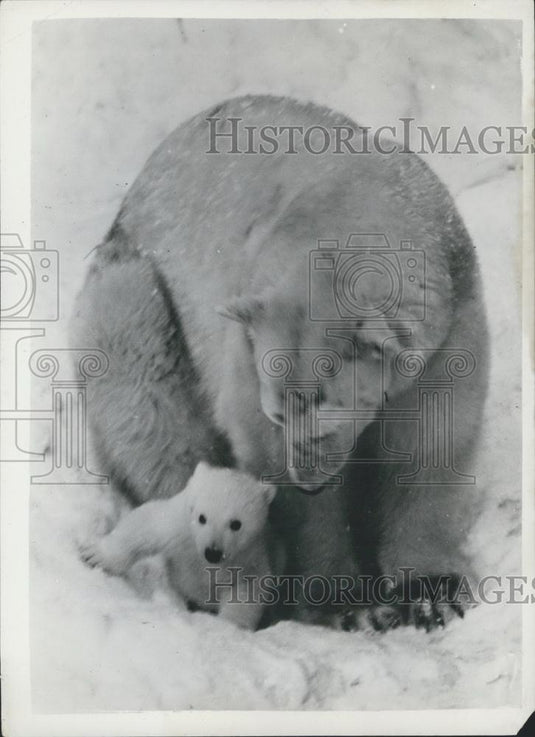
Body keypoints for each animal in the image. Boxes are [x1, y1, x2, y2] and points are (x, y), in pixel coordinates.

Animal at [80, 462, 282, 630]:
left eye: (236, 524)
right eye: (202, 517)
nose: (213, 553)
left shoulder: (250, 557)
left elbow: (246, 594)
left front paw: (228, 627)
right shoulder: (179, 530)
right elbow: (145, 525)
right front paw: (95, 556)